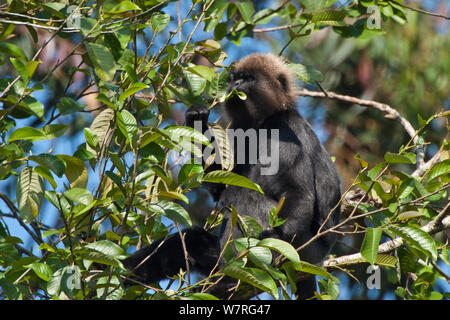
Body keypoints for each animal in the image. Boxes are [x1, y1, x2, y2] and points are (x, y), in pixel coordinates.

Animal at [123, 53, 342, 300]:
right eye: (235, 78)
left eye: (248, 79)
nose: (235, 85)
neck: (263, 122)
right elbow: (220, 185)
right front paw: (197, 121)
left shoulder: (284, 128)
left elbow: (298, 193)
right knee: (192, 239)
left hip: (303, 251)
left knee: (240, 197)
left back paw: (230, 279)